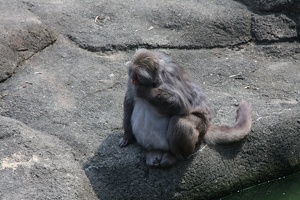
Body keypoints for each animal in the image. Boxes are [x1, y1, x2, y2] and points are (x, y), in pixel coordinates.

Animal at [118, 48, 252, 167]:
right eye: (132, 72)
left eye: (139, 75)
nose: (133, 80)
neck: (154, 81)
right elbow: (129, 101)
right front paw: (127, 136)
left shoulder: (169, 77)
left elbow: (181, 104)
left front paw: (145, 92)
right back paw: (152, 151)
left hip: (201, 127)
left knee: (181, 122)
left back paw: (176, 156)